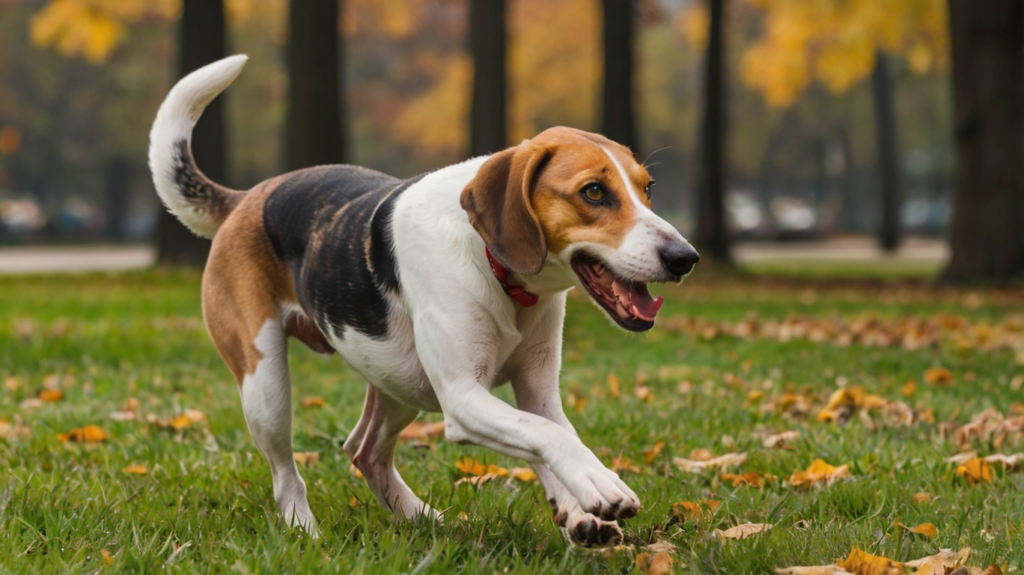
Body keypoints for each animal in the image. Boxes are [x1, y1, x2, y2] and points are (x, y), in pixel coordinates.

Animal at [148, 54, 700, 544]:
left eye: (648, 189)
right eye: (593, 193)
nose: (685, 257)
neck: (499, 271)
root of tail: (249, 197)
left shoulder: (538, 391)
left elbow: (551, 434)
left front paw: (576, 510)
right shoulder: (462, 397)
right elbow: (550, 437)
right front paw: (597, 484)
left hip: (398, 381)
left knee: (364, 450)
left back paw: (421, 518)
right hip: (266, 386)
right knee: (287, 473)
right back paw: (305, 530)